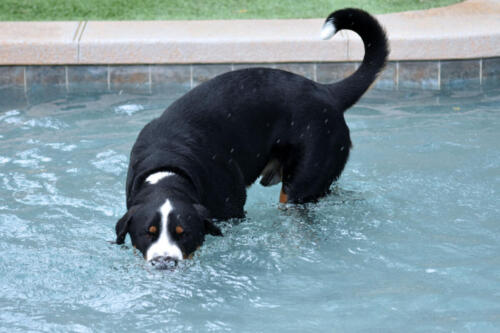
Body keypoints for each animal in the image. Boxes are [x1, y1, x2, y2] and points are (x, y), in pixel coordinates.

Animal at [115, 7, 388, 268]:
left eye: (184, 233)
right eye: (147, 233)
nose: (164, 261)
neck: (168, 166)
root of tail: (325, 91)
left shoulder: (233, 211)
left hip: (300, 186)